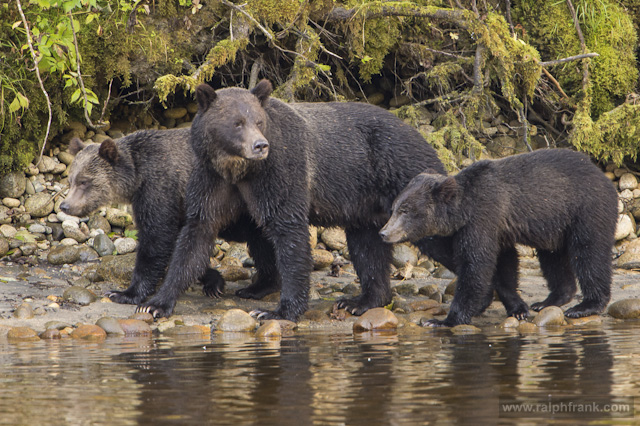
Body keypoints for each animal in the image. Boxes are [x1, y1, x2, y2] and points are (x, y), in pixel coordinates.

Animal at [61, 128, 278, 306]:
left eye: (84, 181)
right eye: (71, 180)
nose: (65, 205)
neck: (137, 176)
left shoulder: (159, 189)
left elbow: (156, 239)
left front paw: (126, 293)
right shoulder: (177, 206)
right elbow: (181, 245)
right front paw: (213, 280)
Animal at [136, 79, 450, 321]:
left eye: (258, 121)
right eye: (237, 122)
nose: (260, 145)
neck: (240, 169)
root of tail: (420, 134)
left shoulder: (282, 170)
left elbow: (288, 233)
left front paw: (280, 310)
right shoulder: (212, 179)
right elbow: (197, 233)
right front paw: (156, 303)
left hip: (403, 173)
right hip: (365, 206)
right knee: (367, 248)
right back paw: (361, 300)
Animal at [379, 148, 618, 327]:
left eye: (405, 210)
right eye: (394, 208)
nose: (384, 233)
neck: (464, 210)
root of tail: (602, 176)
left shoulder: (484, 217)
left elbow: (476, 264)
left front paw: (444, 320)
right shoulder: (498, 229)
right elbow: (503, 264)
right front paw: (518, 308)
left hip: (586, 209)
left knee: (589, 254)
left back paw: (585, 306)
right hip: (555, 226)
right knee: (553, 258)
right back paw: (548, 300)